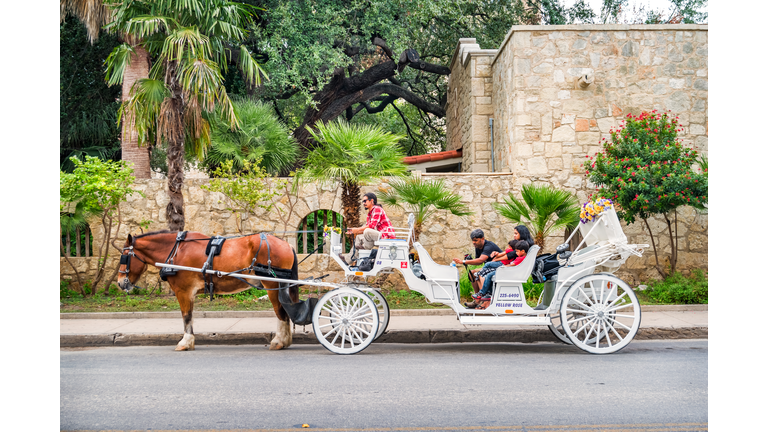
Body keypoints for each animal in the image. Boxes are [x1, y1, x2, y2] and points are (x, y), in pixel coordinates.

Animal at [118, 231, 302, 350]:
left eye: (124, 257)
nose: (120, 283)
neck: (177, 251)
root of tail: (286, 244)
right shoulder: (189, 293)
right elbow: (190, 316)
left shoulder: (183, 291)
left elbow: (186, 316)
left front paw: (185, 342)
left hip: (272, 284)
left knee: (281, 312)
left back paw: (279, 341)